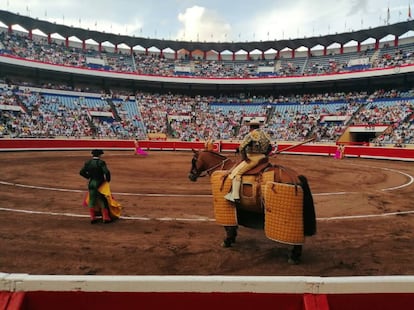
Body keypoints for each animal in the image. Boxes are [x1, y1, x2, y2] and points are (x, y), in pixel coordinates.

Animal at [188, 150, 316, 264]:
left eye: (193, 161)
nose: (190, 176)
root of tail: (297, 176)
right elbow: (233, 226)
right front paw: (232, 238)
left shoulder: (224, 206)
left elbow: (228, 227)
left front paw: (227, 241)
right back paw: (296, 256)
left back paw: (293, 257)